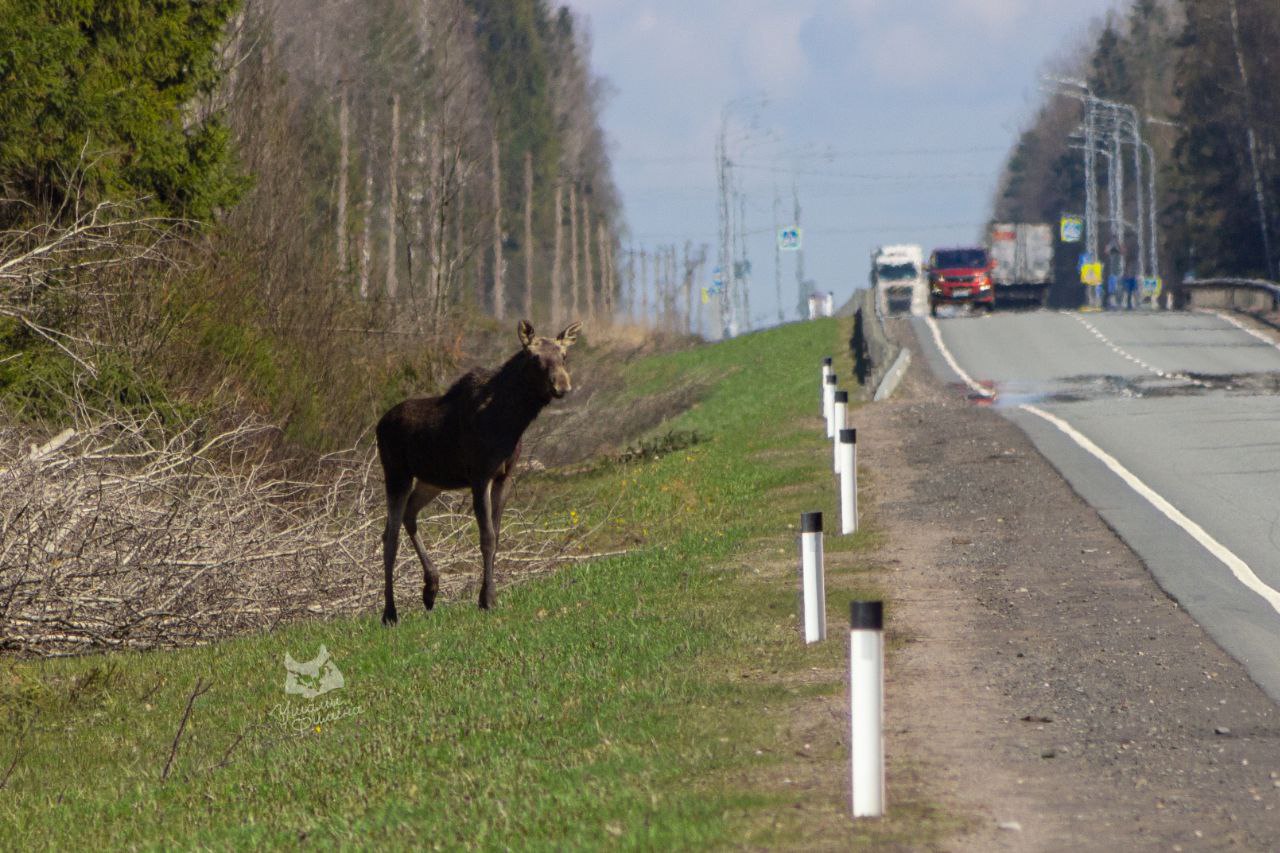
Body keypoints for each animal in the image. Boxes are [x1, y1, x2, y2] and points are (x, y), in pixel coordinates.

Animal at [373, 318, 581, 625]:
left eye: (564, 355)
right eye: (534, 358)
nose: (562, 385)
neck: (512, 420)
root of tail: (378, 425)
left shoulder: (504, 475)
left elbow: (496, 534)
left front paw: (486, 596)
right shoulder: (480, 475)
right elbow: (487, 537)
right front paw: (488, 599)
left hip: (431, 481)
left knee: (409, 516)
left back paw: (430, 589)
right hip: (396, 474)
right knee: (390, 536)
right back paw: (390, 612)